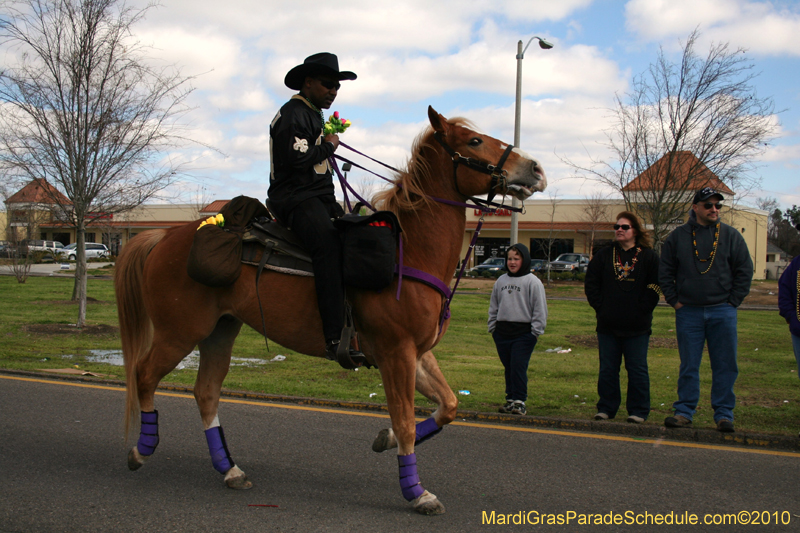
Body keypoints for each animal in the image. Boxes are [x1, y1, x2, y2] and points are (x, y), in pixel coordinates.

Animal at [115, 106, 548, 512]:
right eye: (474, 141)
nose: (536, 168)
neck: (408, 253)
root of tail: (164, 236)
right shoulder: (396, 354)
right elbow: (407, 421)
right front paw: (416, 492)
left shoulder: (417, 354)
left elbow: (448, 407)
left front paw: (385, 439)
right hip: (179, 333)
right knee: (144, 376)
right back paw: (141, 449)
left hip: (220, 331)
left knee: (205, 393)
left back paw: (229, 469)